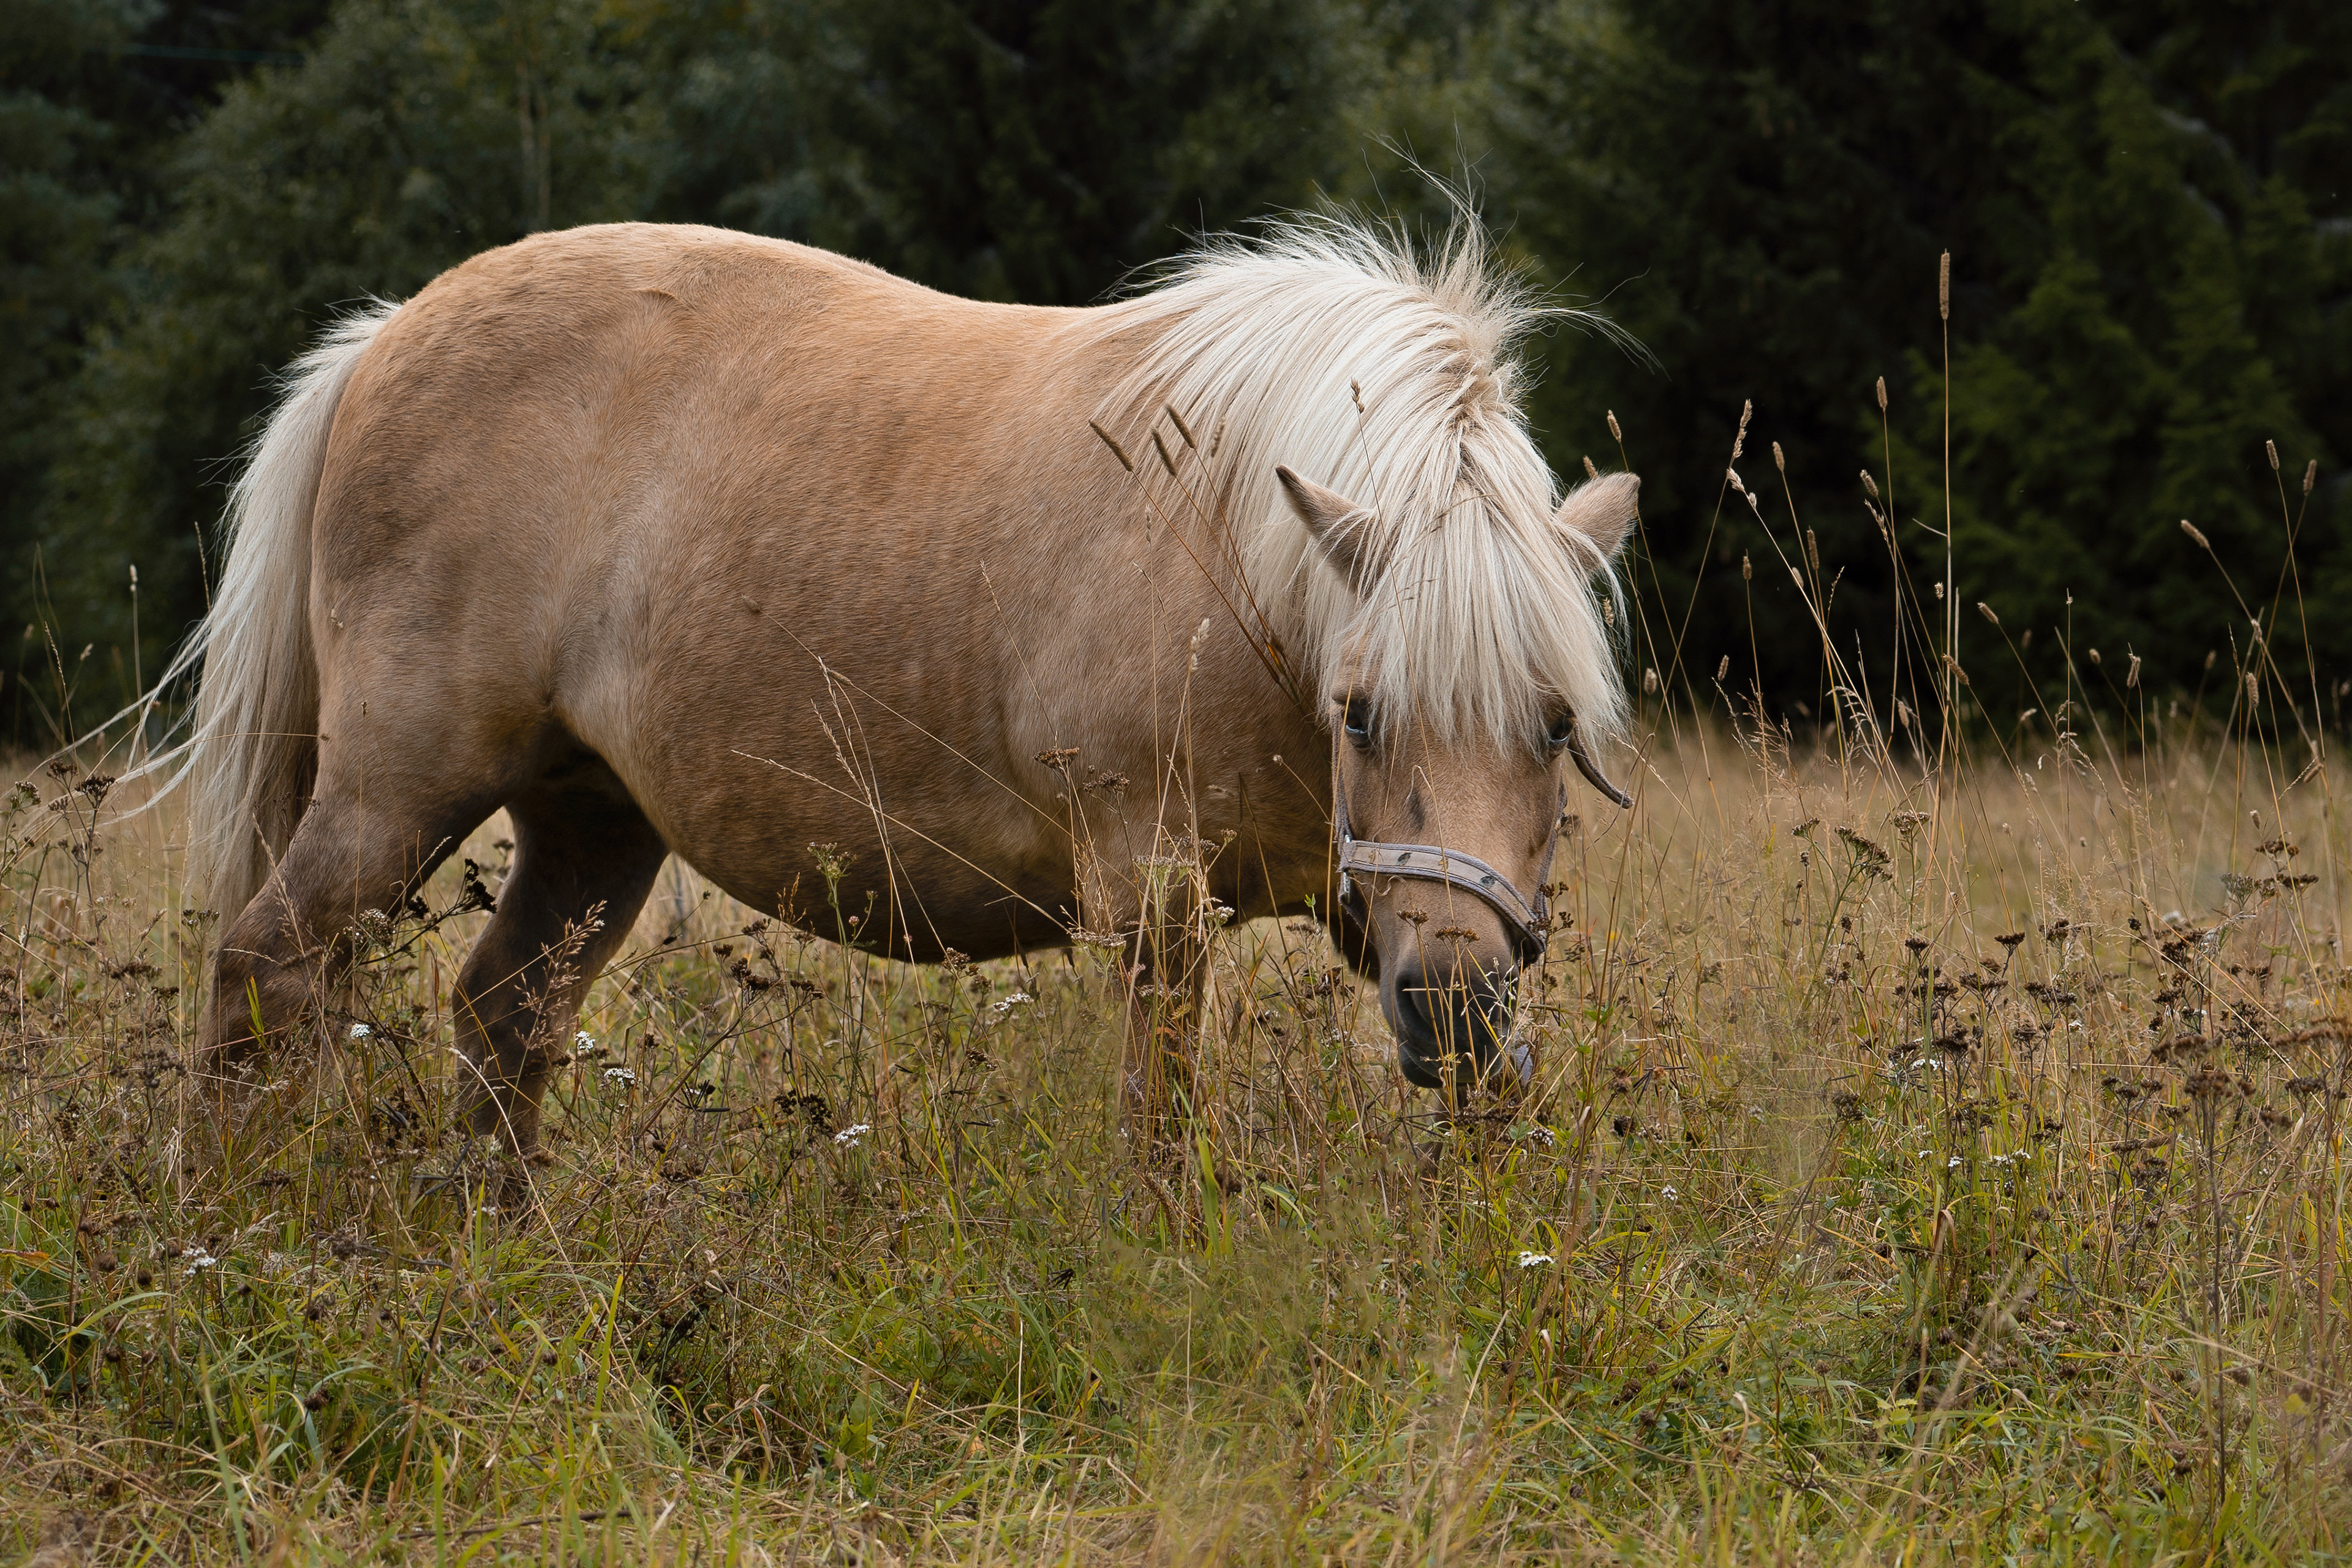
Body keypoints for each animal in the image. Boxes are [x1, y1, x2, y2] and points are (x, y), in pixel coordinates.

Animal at [164, 214, 1639, 1160]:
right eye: (1362, 712)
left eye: (1557, 724)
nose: (1452, 1011)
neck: (1230, 548)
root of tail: (381, 338)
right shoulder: (1155, 903)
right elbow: (1163, 1127)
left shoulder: (1389, 910)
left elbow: (1488, 1112)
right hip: (396, 789)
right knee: (266, 970)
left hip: (591, 822)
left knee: (505, 1018)